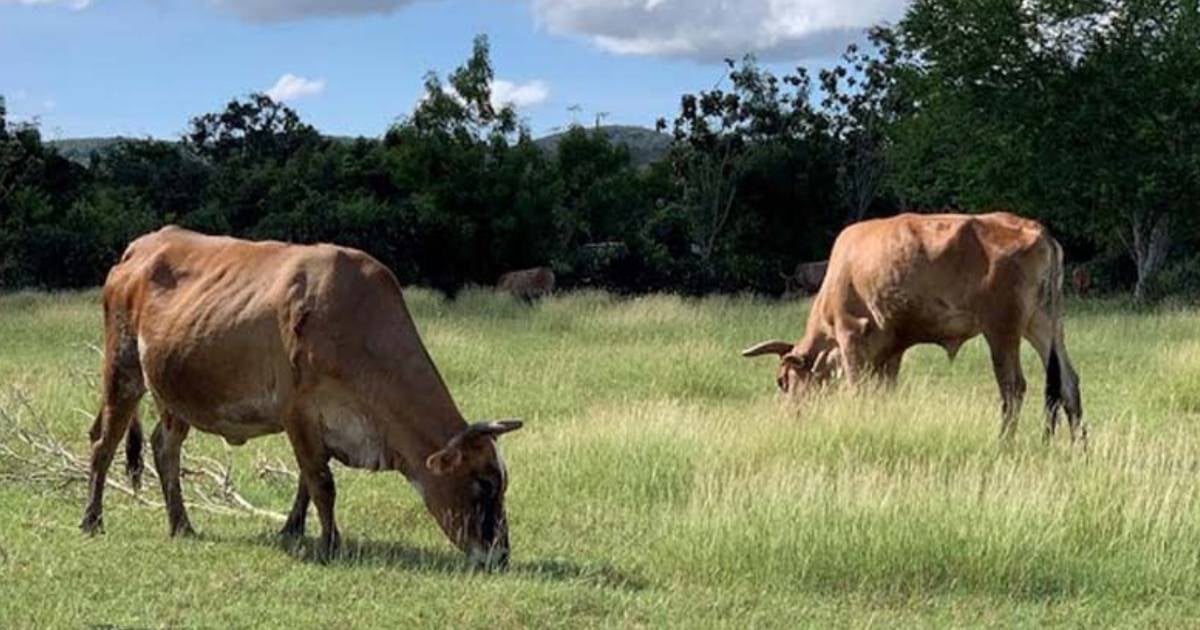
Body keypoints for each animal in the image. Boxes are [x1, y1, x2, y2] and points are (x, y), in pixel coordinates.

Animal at [79, 226, 520, 564]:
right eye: (483, 484)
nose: (500, 555)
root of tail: (143, 245)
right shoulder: (299, 411)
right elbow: (322, 483)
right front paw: (330, 544)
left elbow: (307, 483)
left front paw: (292, 530)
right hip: (122, 371)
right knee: (104, 443)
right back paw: (92, 520)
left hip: (173, 391)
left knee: (163, 448)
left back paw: (182, 525)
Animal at [739, 213, 1089, 444]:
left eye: (782, 381)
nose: (789, 414)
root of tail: (1039, 231)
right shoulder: (890, 349)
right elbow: (882, 391)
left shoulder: (851, 338)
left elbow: (856, 388)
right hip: (1043, 324)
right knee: (1067, 381)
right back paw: (1078, 445)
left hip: (1002, 329)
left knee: (1013, 386)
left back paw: (1004, 442)